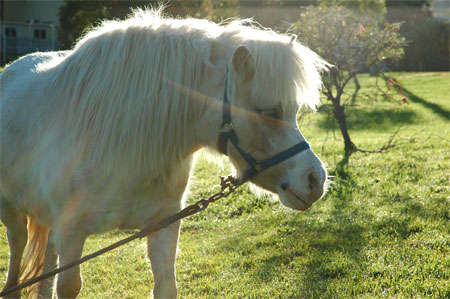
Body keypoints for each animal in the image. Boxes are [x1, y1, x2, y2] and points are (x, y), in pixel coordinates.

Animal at [1, 8, 328, 298]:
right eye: (267, 111)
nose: (316, 180)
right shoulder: (71, 234)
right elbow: (67, 286)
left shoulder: (164, 225)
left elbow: (167, 287)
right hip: (11, 211)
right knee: (18, 249)